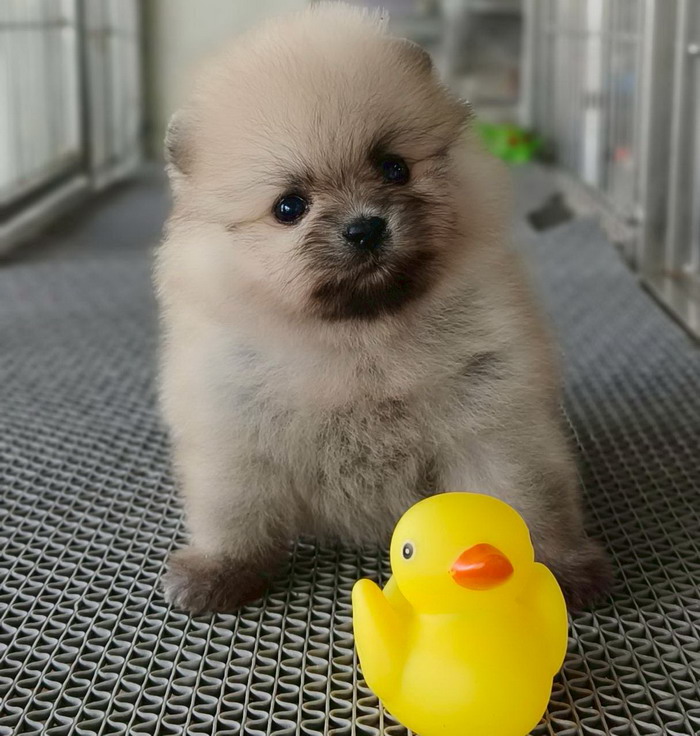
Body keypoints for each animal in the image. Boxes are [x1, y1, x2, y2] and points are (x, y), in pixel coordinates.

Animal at [155, 2, 611, 614]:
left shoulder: (492, 422)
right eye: (289, 207)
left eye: (394, 167)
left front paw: (554, 569)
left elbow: (521, 496)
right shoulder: (238, 431)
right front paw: (220, 570)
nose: (365, 227)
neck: (361, 337)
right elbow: (236, 511)